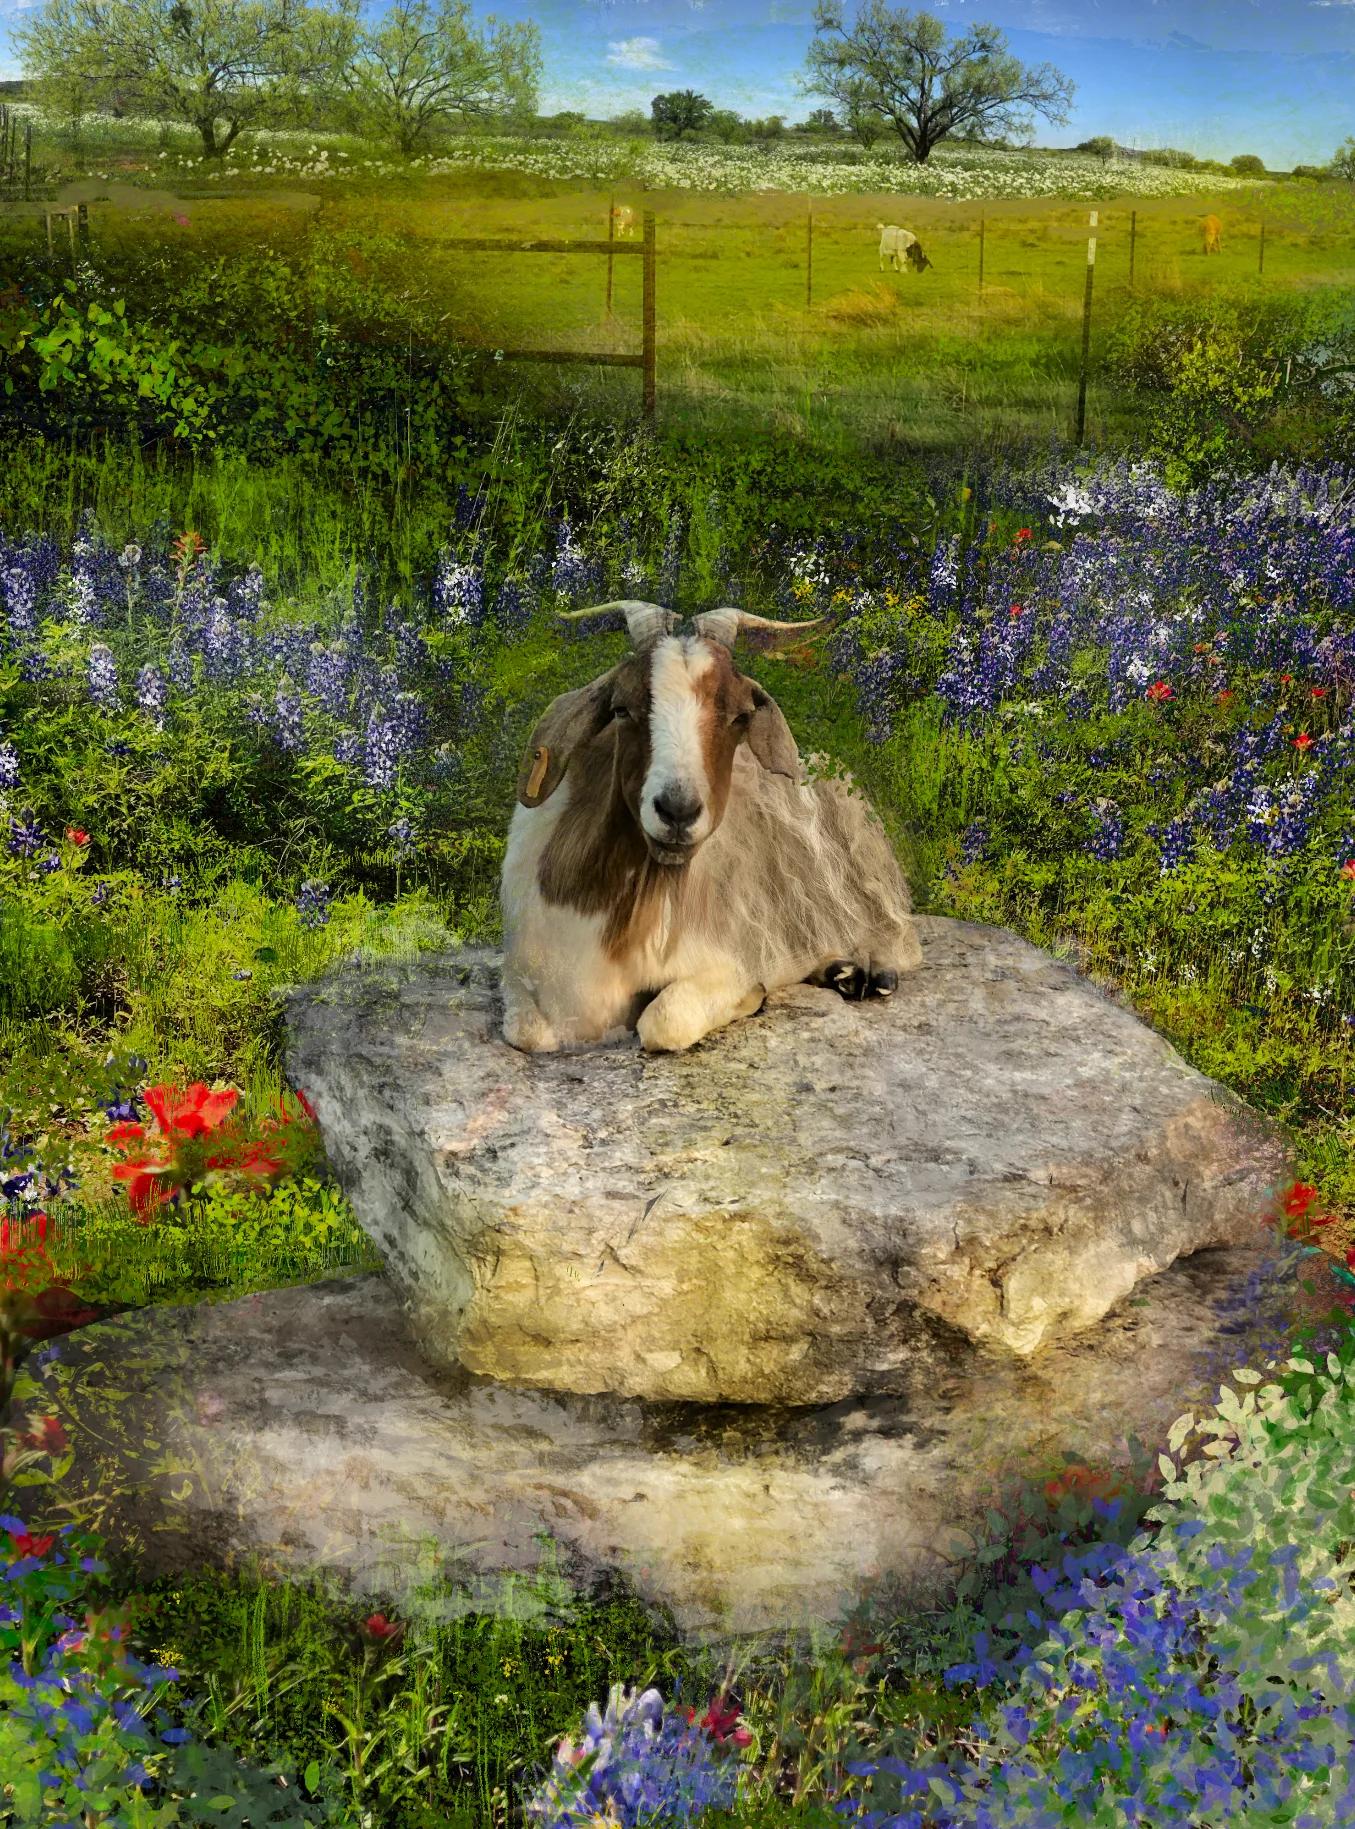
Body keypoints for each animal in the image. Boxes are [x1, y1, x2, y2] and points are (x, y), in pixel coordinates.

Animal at [499, 602, 923, 1054]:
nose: (677, 811)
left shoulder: (727, 958)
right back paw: (841, 973)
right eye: (621, 709)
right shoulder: (521, 974)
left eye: (741, 716)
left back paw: (870, 971)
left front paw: (753, 995)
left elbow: (665, 1019)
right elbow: (527, 1033)